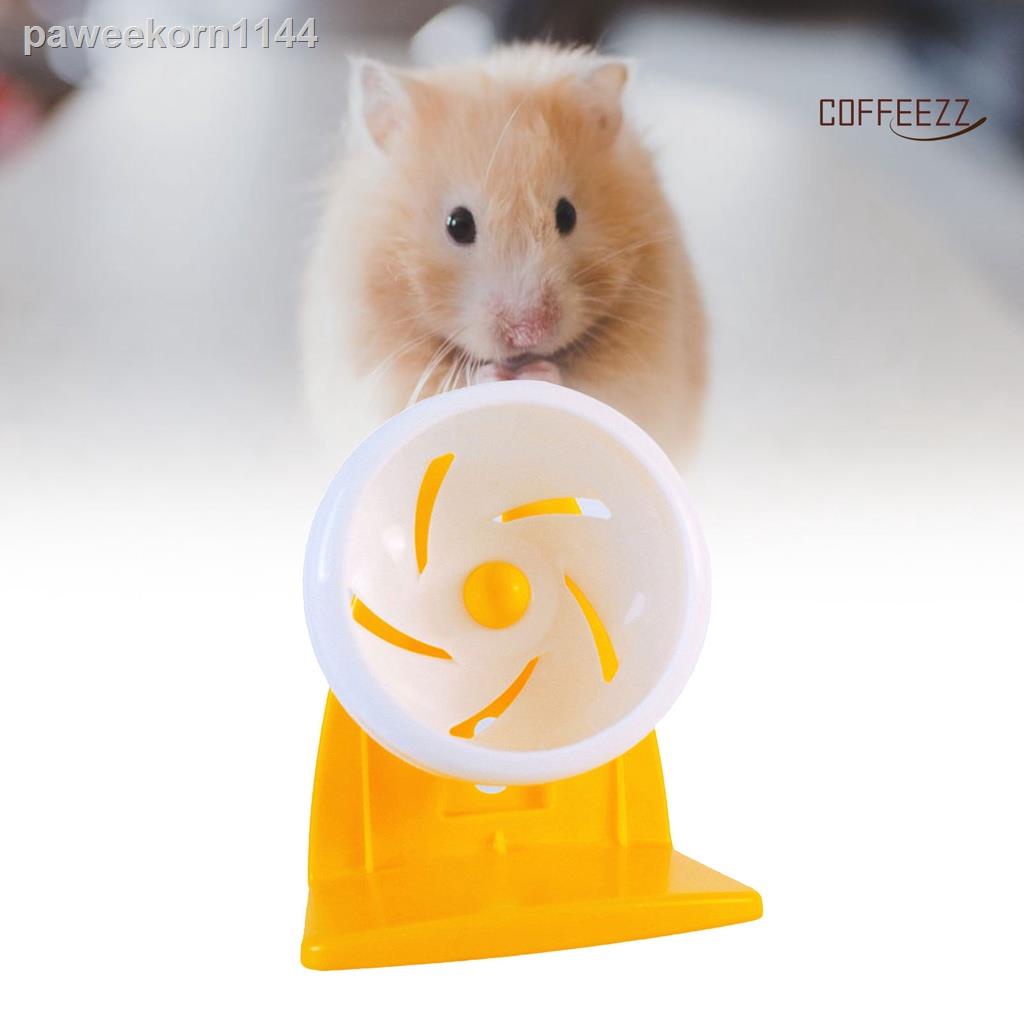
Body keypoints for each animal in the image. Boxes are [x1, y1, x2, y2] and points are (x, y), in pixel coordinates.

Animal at [302, 44, 705, 461]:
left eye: (567, 214)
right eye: (457, 224)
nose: (529, 333)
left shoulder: (644, 361)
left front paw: (540, 375)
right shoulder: (375, 366)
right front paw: (493, 377)